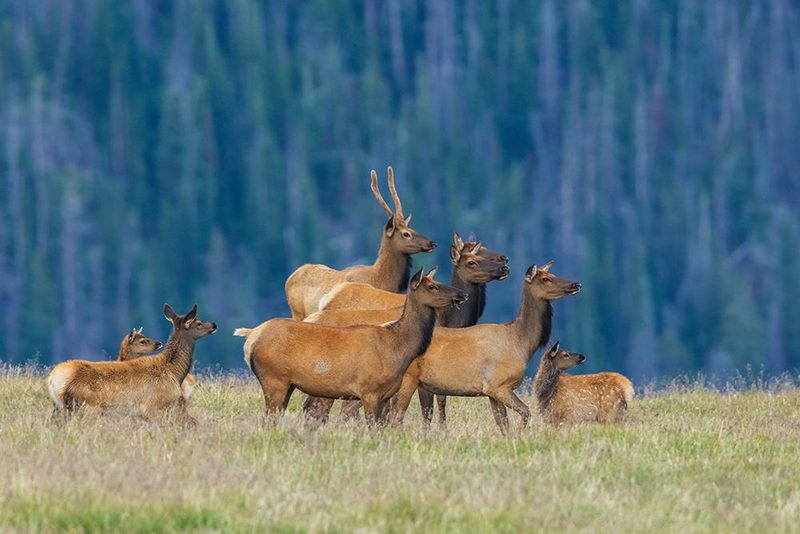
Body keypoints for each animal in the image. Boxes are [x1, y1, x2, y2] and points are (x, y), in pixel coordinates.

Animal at [47, 304, 216, 424]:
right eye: (199, 322)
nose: (214, 324)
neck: (174, 372)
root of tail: (54, 380)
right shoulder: (152, 406)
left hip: (60, 408)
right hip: (89, 406)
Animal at [234, 268, 468, 426]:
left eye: (436, 280)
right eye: (432, 286)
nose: (462, 294)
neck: (398, 348)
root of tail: (251, 337)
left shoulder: (385, 394)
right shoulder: (369, 390)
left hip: (287, 384)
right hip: (274, 379)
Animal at [284, 167, 436, 320]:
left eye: (412, 228)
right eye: (406, 233)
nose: (432, 243)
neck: (382, 280)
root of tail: (290, 277)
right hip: (297, 312)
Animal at [389, 262, 581, 434]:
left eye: (551, 274)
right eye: (545, 279)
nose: (576, 284)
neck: (521, 344)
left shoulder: (490, 391)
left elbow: (503, 423)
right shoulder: (498, 385)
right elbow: (525, 412)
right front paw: (521, 435)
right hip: (408, 378)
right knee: (397, 416)